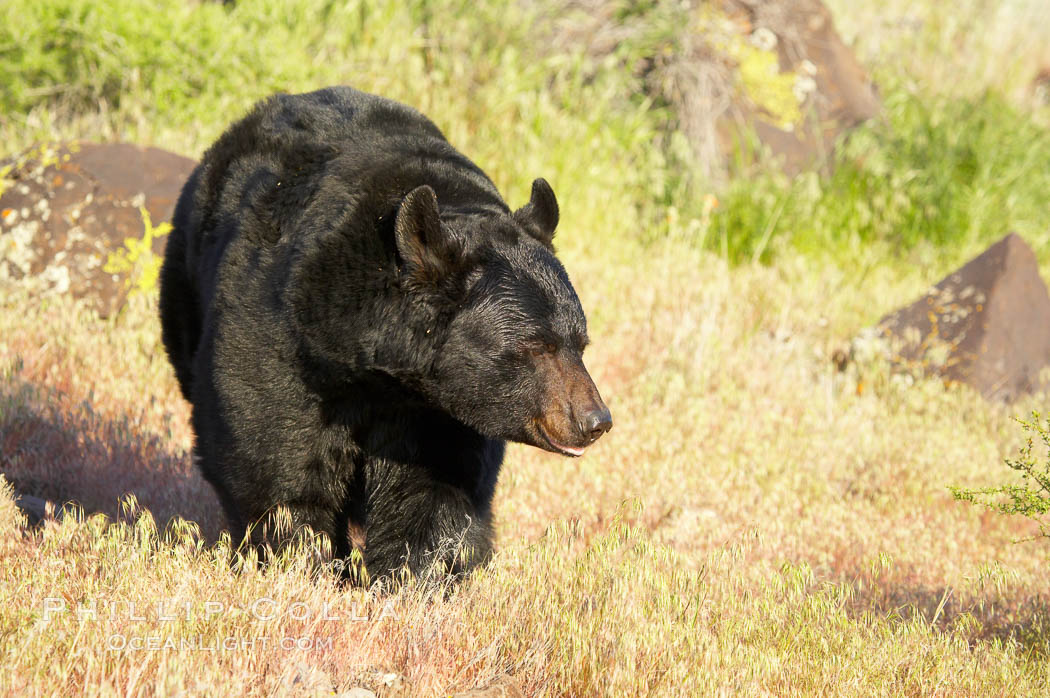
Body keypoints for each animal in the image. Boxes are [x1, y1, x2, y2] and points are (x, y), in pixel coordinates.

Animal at [159, 84, 613, 579]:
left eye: (579, 344)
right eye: (537, 346)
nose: (595, 420)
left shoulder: (438, 410)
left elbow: (436, 488)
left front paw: (410, 573)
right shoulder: (283, 334)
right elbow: (271, 450)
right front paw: (298, 556)